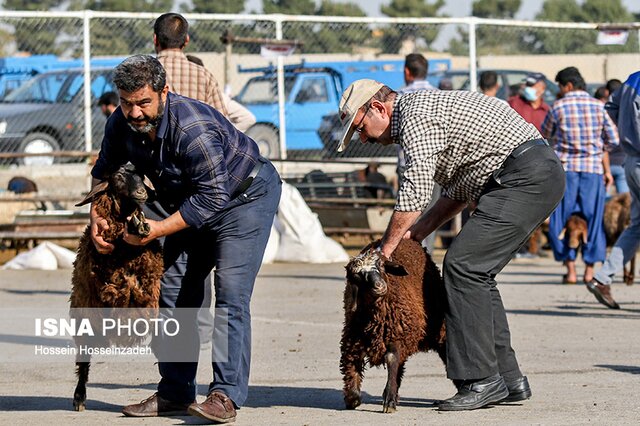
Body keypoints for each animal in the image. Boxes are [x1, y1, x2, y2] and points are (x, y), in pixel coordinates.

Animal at [69, 162, 164, 410]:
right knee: (83, 360)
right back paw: (79, 397)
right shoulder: (113, 290)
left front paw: (140, 223)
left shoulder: (147, 289)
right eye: (118, 177)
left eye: (142, 175)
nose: (142, 192)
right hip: (83, 319)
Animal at [340, 238, 444, 412]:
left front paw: (389, 400)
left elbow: (391, 359)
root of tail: (410, 239)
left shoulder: (395, 335)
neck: (375, 319)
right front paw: (352, 397)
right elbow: (352, 361)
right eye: (357, 275)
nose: (379, 286)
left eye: (381, 266)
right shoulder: (353, 338)